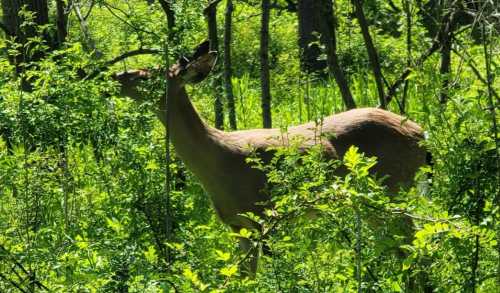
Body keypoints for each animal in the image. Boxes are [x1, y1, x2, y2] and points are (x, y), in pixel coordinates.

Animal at [114, 40, 430, 276]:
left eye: (144, 75)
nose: (113, 77)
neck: (217, 158)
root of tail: (422, 135)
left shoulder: (265, 216)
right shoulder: (237, 223)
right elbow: (244, 277)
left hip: (391, 190)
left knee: (412, 244)